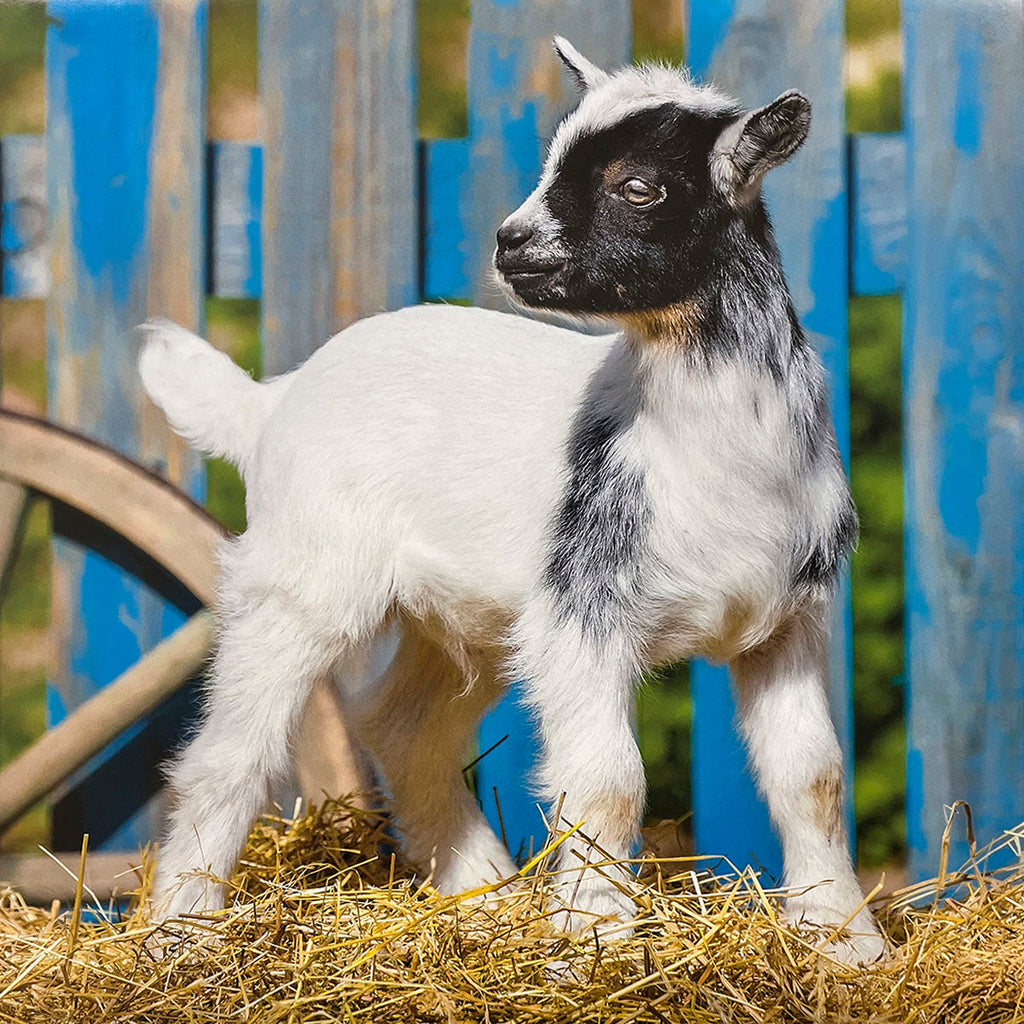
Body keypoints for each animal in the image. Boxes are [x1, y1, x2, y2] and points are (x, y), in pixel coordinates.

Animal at [139, 38, 885, 964]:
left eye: (639, 186)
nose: (511, 242)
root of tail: (271, 403)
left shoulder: (788, 619)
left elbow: (812, 776)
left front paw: (847, 941)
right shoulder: (582, 619)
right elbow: (608, 783)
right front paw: (599, 942)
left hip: (468, 619)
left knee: (404, 730)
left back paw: (483, 899)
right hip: (302, 578)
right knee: (230, 753)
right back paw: (180, 936)